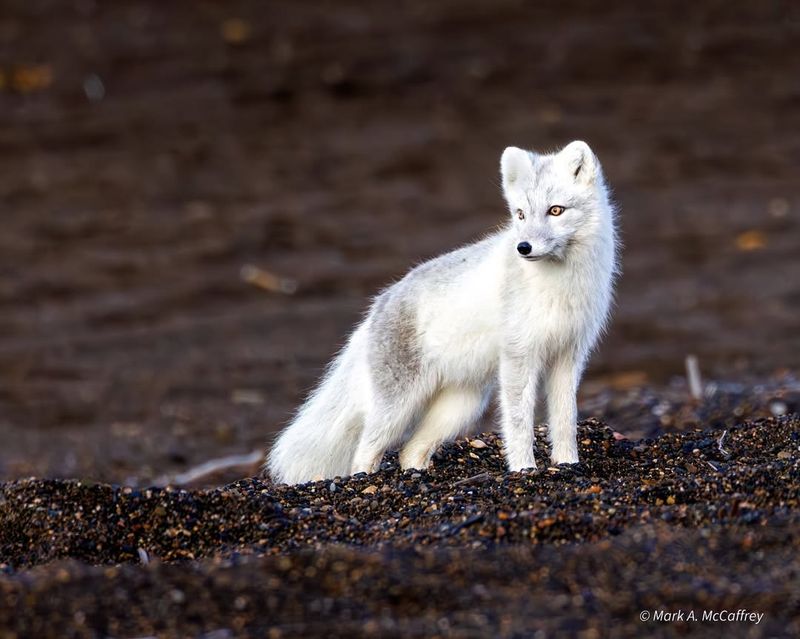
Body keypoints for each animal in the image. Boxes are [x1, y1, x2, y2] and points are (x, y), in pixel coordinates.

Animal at [268, 139, 620, 480]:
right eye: (520, 214)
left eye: (555, 210)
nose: (523, 248)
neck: (561, 285)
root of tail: (377, 307)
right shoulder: (519, 356)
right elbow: (519, 423)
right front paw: (524, 470)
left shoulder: (569, 355)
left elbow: (565, 419)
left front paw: (568, 464)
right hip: (398, 407)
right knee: (364, 451)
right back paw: (366, 481)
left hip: (461, 406)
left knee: (409, 451)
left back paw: (418, 477)